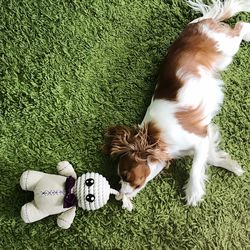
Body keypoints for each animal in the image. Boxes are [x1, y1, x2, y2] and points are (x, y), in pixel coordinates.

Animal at [103, 0, 248, 207]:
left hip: (227, 46)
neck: (156, 137)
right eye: (120, 178)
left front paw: (193, 192)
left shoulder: (199, 138)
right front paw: (232, 166)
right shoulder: (203, 139)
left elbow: (195, 167)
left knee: (241, 25)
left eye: (125, 175)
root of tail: (198, 22)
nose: (120, 193)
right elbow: (210, 157)